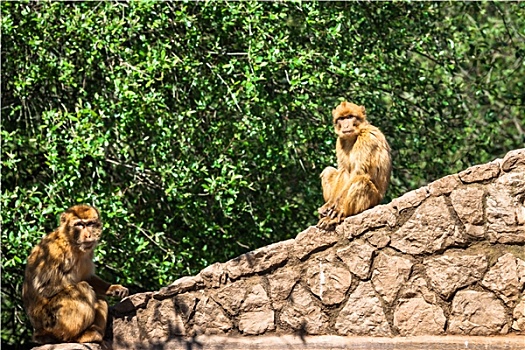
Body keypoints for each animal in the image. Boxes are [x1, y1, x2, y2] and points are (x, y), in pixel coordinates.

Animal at [22, 204, 129, 344]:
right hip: (51, 321)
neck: (72, 243)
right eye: (79, 224)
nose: (88, 235)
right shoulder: (55, 251)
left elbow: (87, 277)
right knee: (83, 288)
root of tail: (39, 331)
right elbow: (45, 288)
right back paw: (74, 337)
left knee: (98, 297)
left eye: (90, 224)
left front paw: (113, 288)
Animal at [318, 100, 390, 230]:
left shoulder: (366, 138)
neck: (354, 136)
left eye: (350, 117)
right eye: (342, 118)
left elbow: (358, 172)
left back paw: (341, 215)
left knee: (361, 181)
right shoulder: (340, 141)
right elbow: (344, 171)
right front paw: (329, 204)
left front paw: (337, 207)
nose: (346, 126)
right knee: (328, 171)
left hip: (372, 201)